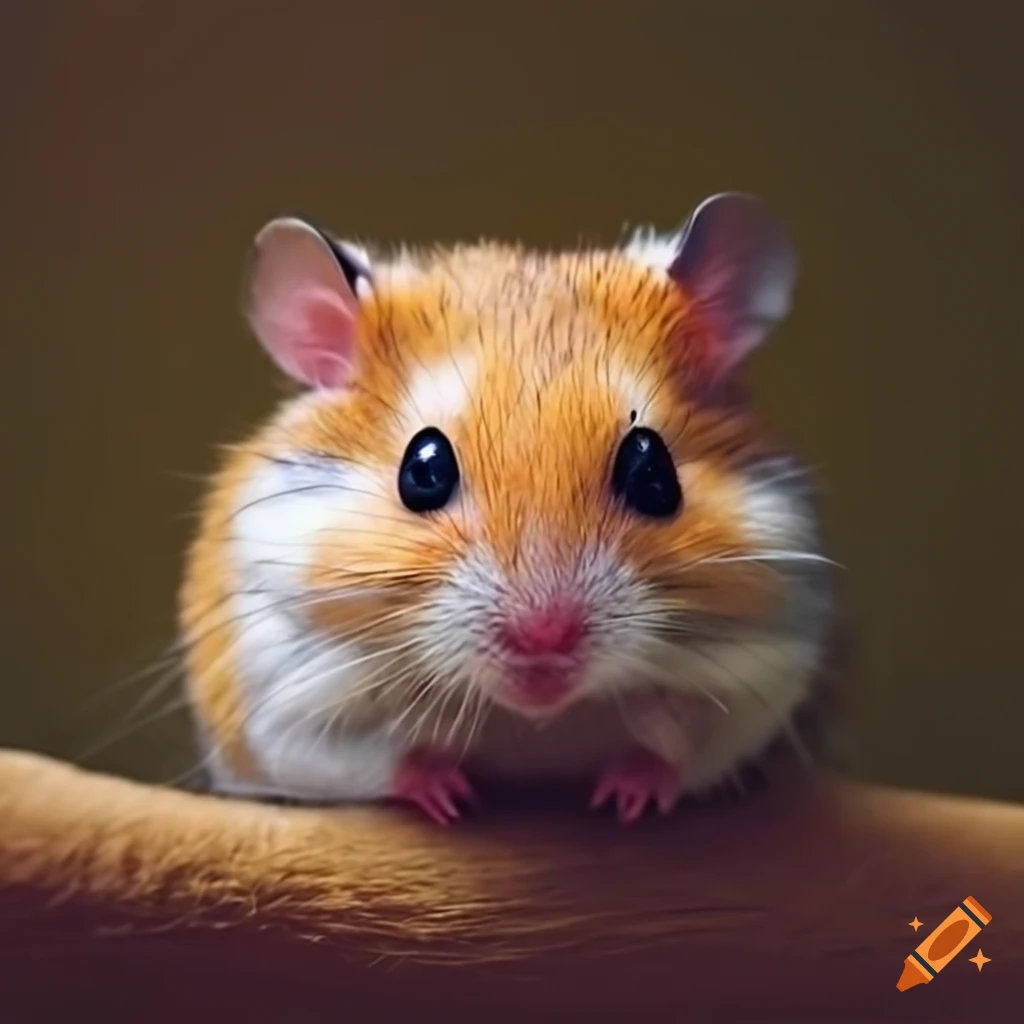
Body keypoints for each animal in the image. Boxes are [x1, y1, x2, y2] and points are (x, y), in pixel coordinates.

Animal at [179, 193, 833, 824]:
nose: (545, 642)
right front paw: (450, 797)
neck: (530, 716)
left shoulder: (758, 679)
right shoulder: (277, 701)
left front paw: (625, 800)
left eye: (653, 473)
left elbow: (685, 749)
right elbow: (372, 760)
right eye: (424, 469)